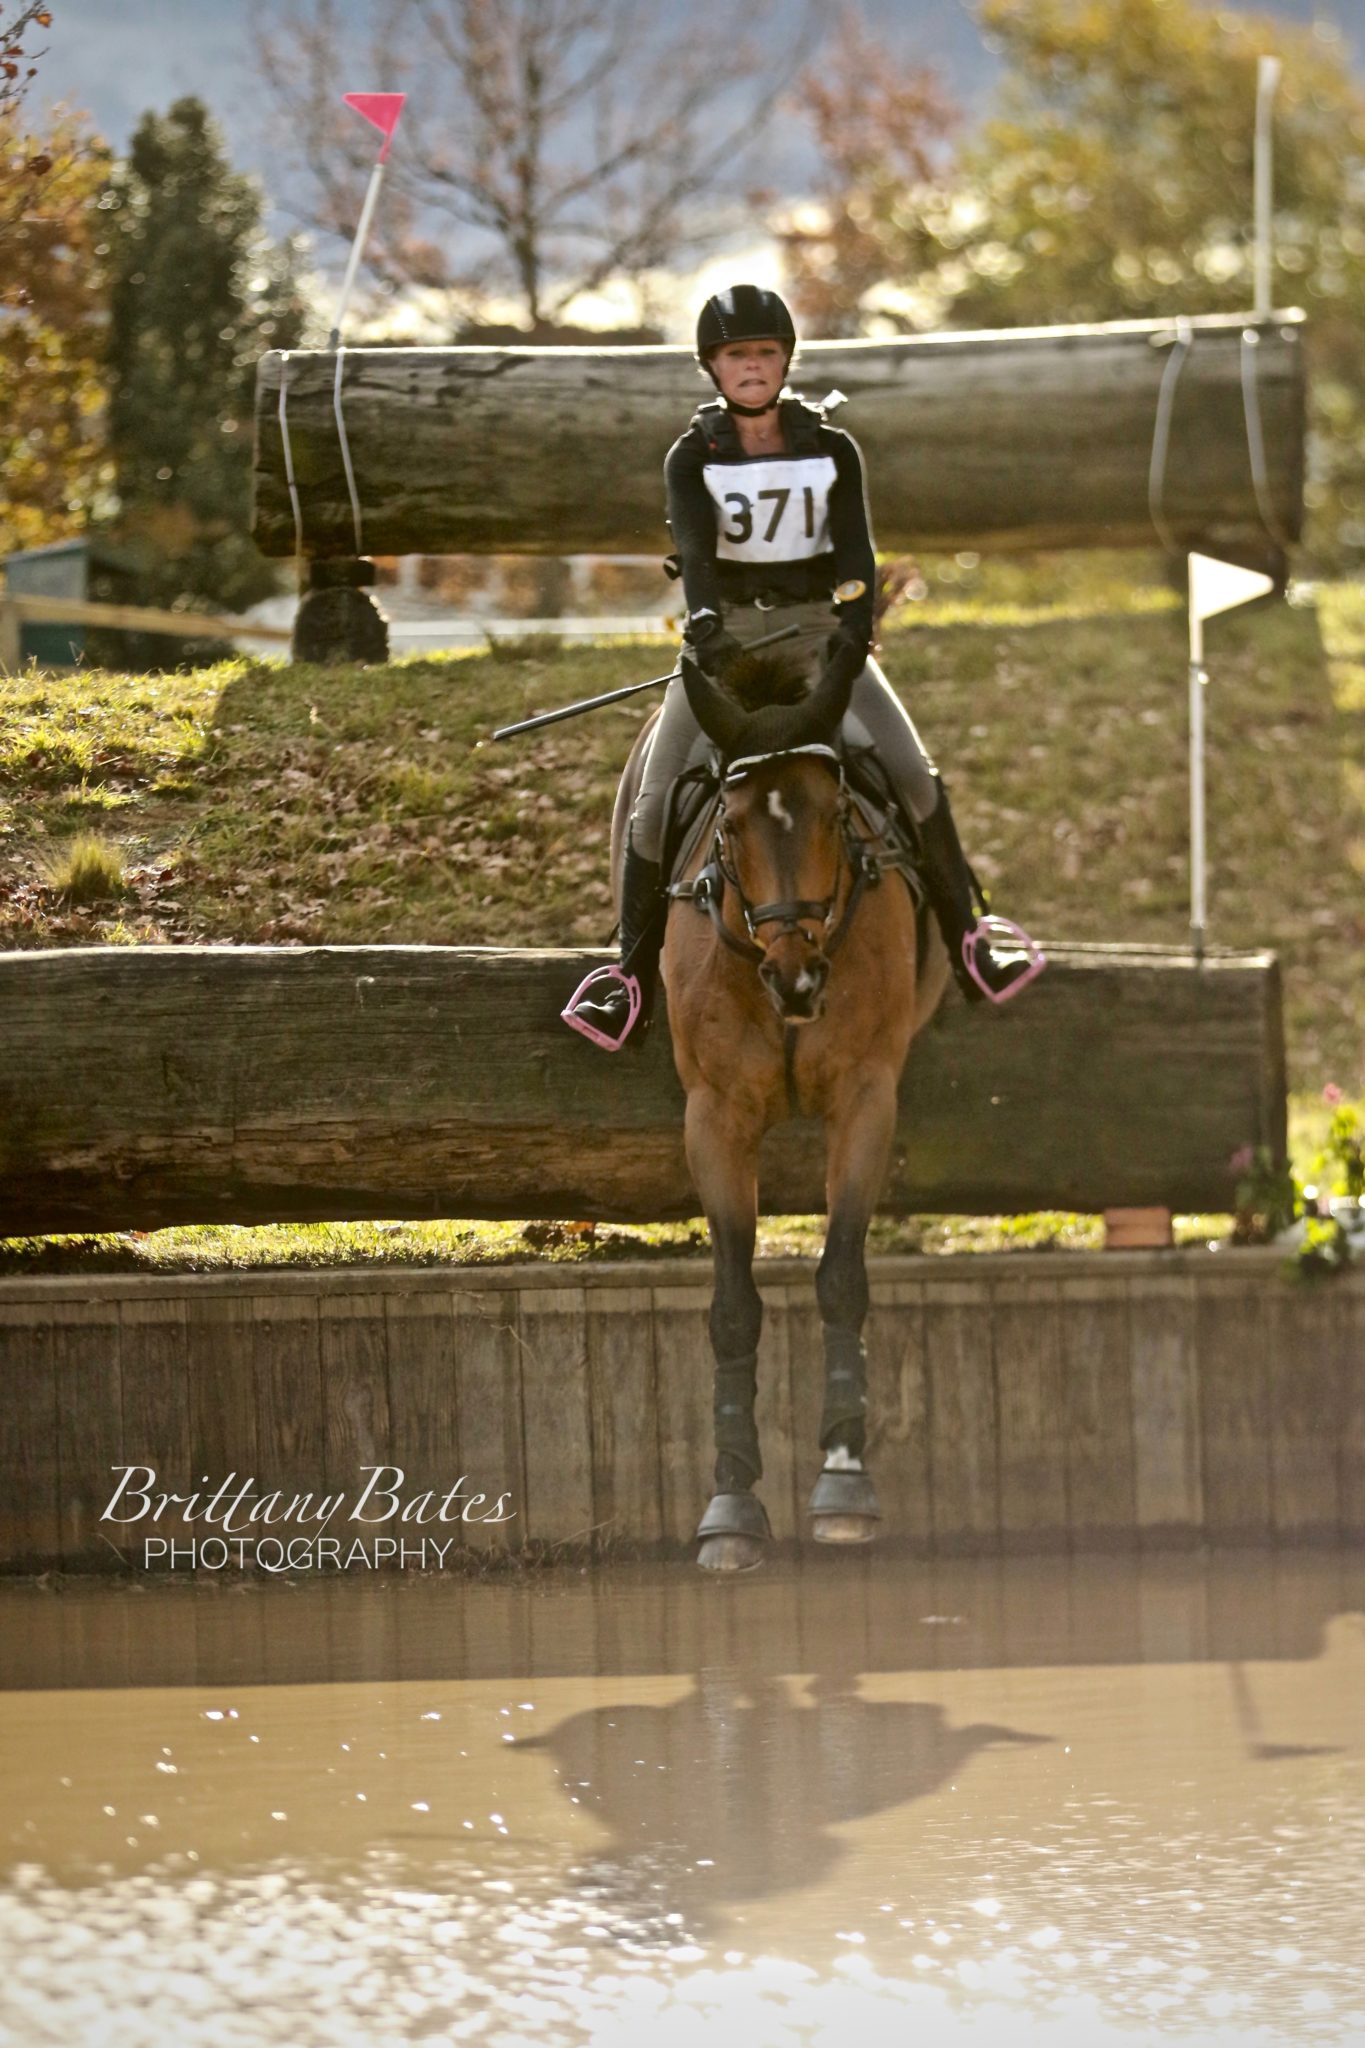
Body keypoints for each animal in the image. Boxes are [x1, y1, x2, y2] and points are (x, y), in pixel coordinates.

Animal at [611, 645, 952, 1571]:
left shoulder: (866, 1098)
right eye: (728, 828)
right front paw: (730, 1499)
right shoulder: (715, 1117)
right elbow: (733, 1306)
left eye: (834, 814)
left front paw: (842, 1478)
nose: (795, 980)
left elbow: (839, 1278)